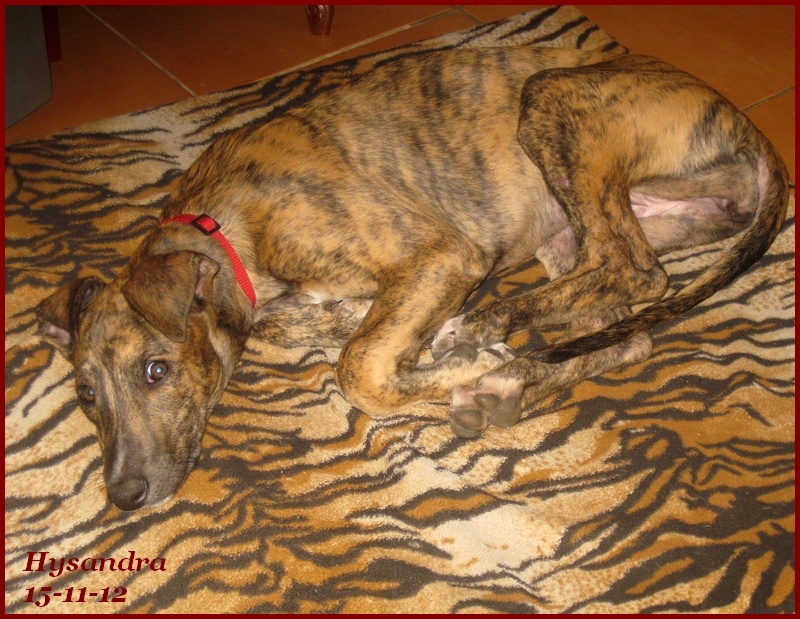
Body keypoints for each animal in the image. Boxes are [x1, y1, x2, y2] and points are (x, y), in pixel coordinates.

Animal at [37, 47, 789, 511]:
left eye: (156, 371)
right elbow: (342, 332)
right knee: (622, 324)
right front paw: (463, 367)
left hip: (554, 103)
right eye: (85, 395)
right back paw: (509, 363)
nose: (124, 495)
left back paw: (489, 331)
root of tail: (745, 125)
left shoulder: (443, 253)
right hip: (569, 231)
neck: (224, 224)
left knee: (635, 271)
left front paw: (462, 367)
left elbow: (358, 367)